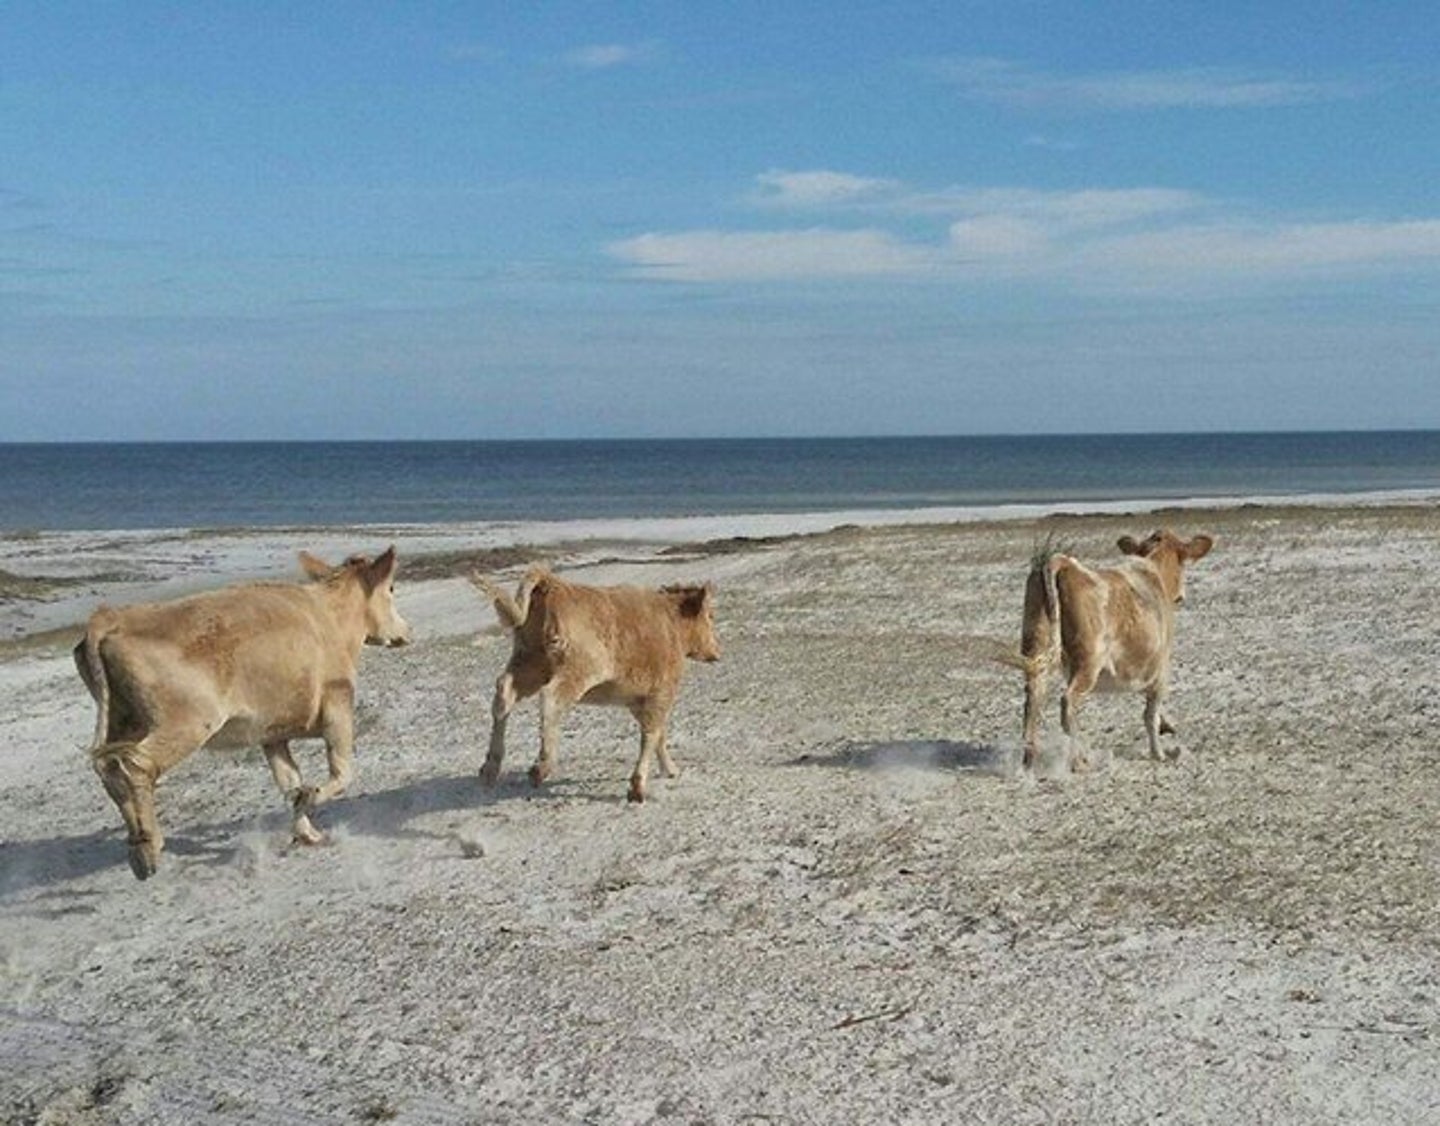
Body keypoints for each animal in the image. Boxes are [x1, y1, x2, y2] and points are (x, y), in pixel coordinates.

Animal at [73, 547, 411, 880]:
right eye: (392, 588)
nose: (407, 630)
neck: (332, 617)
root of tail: (110, 617)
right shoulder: (338, 704)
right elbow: (342, 773)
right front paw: (309, 797)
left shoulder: (272, 732)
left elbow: (288, 779)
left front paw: (306, 831)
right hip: (187, 723)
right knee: (135, 766)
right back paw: (147, 848)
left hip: (123, 721)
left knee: (109, 768)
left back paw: (136, 847)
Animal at [471, 567, 720, 803]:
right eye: (710, 615)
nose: (717, 652)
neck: (671, 624)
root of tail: (552, 583)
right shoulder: (662, 693)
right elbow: (652, 733)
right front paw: (638, 787)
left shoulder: (637, 701)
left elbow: (658, 734)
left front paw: (669, 770)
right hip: (577, 672)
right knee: (550, 699)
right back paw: (541, 766)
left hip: (528, 664)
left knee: (504, 693)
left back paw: (490, 768)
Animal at [1019, 529, 1214, 771]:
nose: (1181, 595)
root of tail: (1064, 563)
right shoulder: (1161, 669)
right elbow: (1150, 714)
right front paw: (1159, 753)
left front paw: (1167, 726)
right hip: (1088, 662)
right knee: (1068, 702)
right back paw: (1079, 760)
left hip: (1036, 651)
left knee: (1032, 700)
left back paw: (1029, 759)